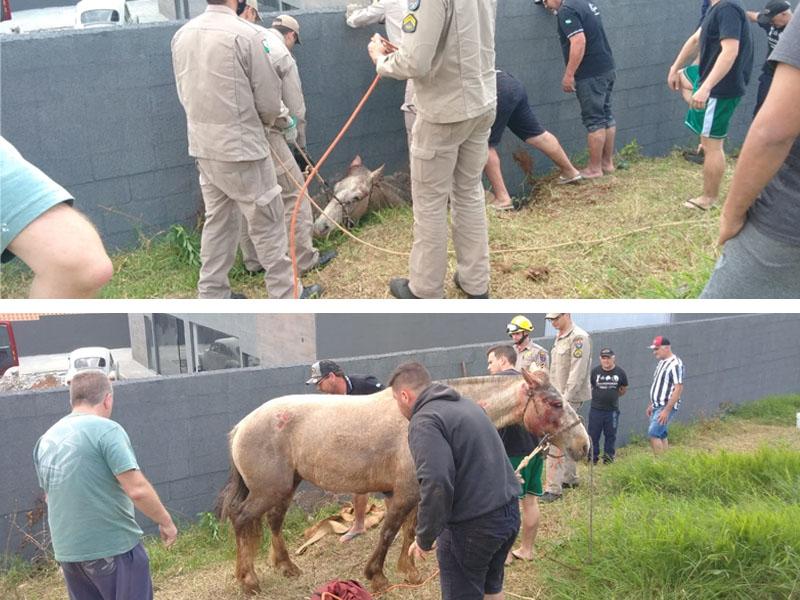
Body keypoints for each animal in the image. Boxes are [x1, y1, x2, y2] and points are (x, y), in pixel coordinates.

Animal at [217, 370, 588, 596]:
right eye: (555, 402)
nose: (583, 445)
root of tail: (241, 426)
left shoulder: (419, 492)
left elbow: (410, 532)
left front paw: (408, 571)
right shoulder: (405, 493)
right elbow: (390, 531)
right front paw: (378, 577)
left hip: (284, 487)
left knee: (273, 522)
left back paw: (286, 566)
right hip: (269, 490)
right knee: (243, 519)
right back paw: (249, 580)